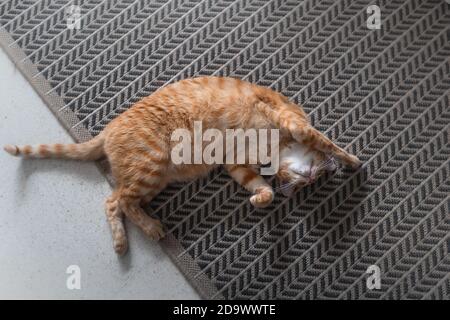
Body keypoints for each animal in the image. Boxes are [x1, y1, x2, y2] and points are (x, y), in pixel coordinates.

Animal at [4, 76, 362, 254]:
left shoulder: (236, 165)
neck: (273, 151)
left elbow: (262, 188)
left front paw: (259, 197)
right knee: (119, 200)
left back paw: (123, 240)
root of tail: (108, 129)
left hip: (154, 179)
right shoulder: (289, 121)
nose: (307, 181)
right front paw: (353, 161)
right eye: (310, 179)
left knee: (115, 201)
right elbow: (326, 141)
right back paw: (149, 228)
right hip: (152, 165)